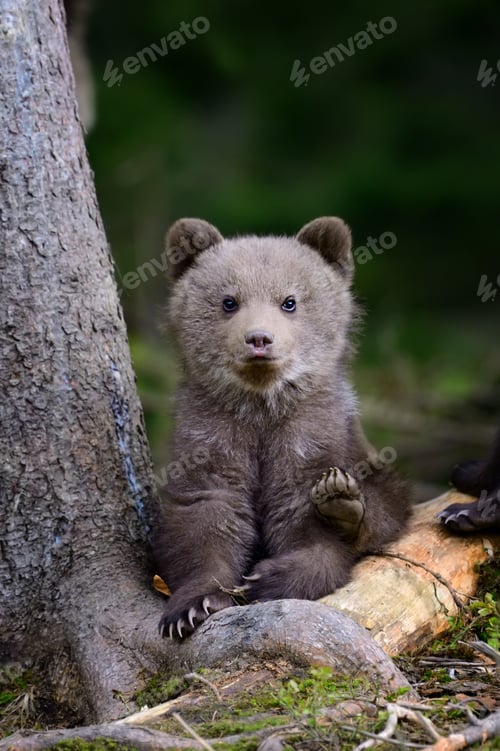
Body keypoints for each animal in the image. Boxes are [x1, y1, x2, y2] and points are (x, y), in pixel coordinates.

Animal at [153, 216, 413, 639]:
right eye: (229, 301)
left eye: (289, 301)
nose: (259, 338)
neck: (262, 406)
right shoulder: (211, 432)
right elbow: (205, 514)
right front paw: (193, 604)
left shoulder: (310, 432)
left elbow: (304, 513)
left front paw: (274, 577)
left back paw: (344, 501)